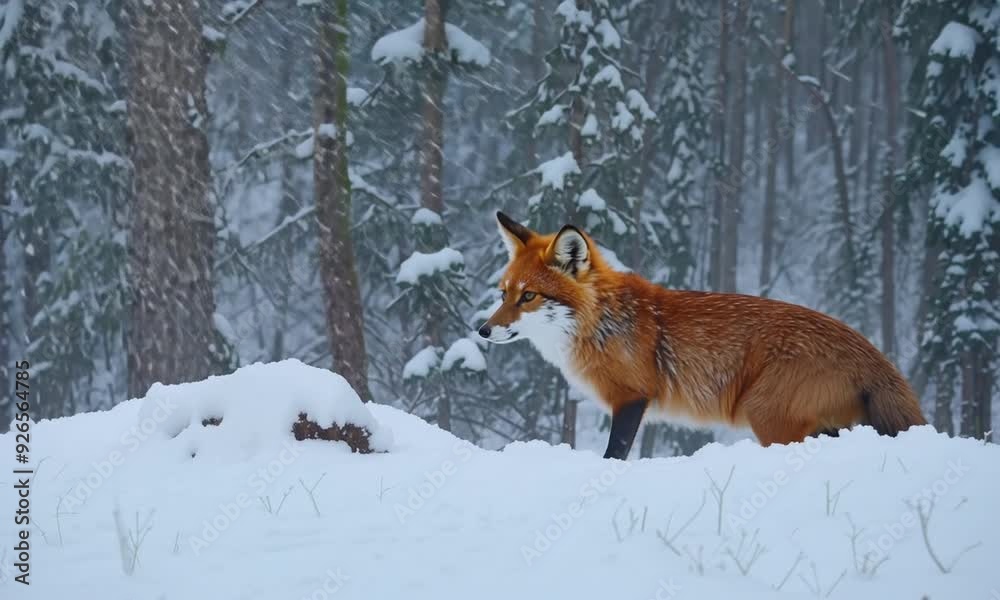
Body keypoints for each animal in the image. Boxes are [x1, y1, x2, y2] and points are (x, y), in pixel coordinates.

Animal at [478, 211, 927, 459]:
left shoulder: (632, 397)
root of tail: (870, 349)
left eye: (529, 296)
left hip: (770, 418)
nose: (482, 330)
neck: (600, 322)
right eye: (503, 294)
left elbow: (614, 454)